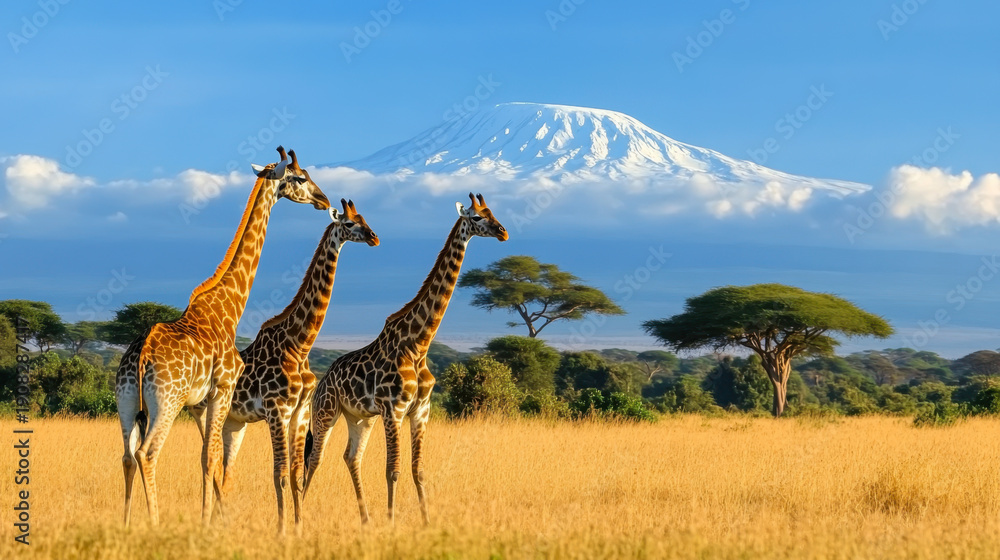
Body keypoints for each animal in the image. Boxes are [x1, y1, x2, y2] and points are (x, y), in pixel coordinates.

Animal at [115, 147, 330, 528]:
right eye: (299, 177)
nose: (324, 199)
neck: (227, 306)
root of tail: (140, 357)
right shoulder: (222, 391)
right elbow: (212, 460)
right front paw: (207, 523)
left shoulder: (204, 402)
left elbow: (209, 459)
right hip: (166, 401)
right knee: (147, 453)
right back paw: (154, 523)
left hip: (125, 401)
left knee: (126, 456)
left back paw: (125, 526)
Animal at [190, 198, 379, 536]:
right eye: (349, 223)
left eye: (365, 218)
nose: (374, 236)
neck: (299, 344)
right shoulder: (277, 410)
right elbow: (278, 473)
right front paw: (281, 531)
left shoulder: (300, 412)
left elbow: (295, 474)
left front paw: (299, 528)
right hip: (204, 413)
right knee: (208, 462)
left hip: (234, 423)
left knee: (225, 470)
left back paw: (219, 522)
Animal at [303, 193, 507, 525]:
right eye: (477, 217)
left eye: (493, 213)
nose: (503, 232)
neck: (418, 345)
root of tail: (323, 381)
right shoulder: (394, 410)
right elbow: (393, 470)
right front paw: (392, 522)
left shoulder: (420, 410)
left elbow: (418, 471)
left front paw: (425, 522)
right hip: (325, 412)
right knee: (314, 458)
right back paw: (301, 514)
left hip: (360, 417)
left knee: (350, 456)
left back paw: (365, 519)